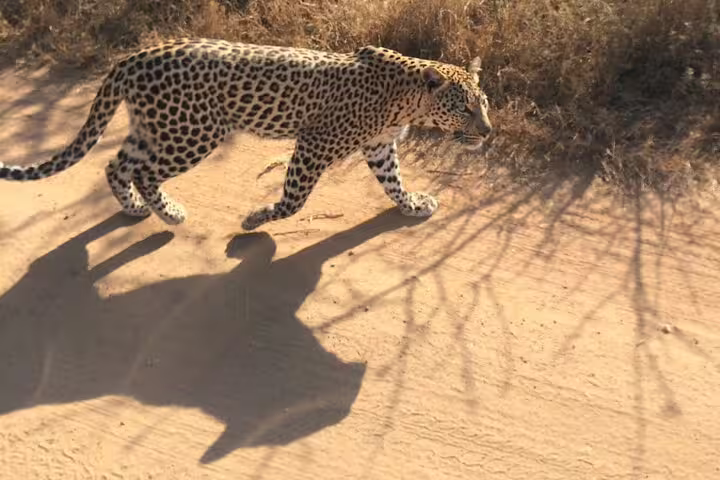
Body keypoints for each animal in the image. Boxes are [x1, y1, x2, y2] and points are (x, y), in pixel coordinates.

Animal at [0, 38, 492, 230]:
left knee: (115, 164)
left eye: (484, 103)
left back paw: (137, 209)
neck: (408, 97)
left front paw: (413, 205)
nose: (488, 132)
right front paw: (256, 220)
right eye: (464, 107)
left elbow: (393, 183)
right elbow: (295, 199)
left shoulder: (379, 147)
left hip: (155, 127)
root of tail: (136, 56)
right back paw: (169, 213)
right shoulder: (314, 144)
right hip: (193, 133)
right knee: (143, 171)